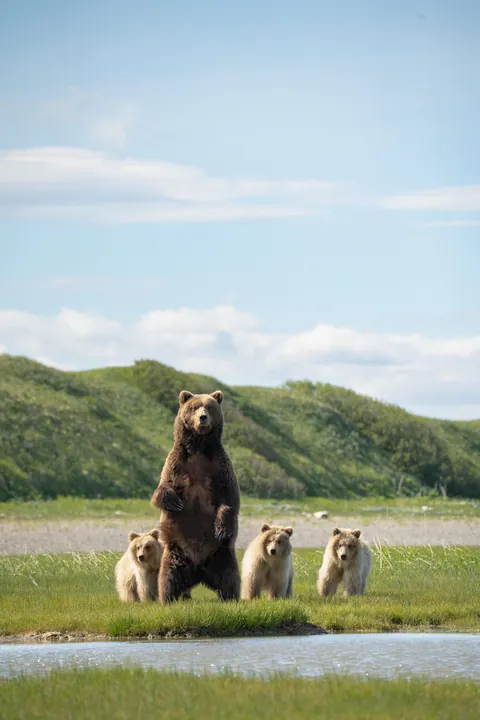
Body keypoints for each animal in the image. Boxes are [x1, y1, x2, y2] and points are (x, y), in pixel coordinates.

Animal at [150, 389, 241, 604]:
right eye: (194, 407)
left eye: (209, 406)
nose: (202, 417)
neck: (199, 448)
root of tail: (199, 571)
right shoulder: (177, 463)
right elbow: (161, 488)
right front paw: (175, 502)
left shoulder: (220, 466)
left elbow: (229, 497)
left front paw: (221, 528)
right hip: (176, 554)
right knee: (168, 578)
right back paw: (168, 598)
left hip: (221, 555)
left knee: (230, 578)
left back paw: (230, 597)